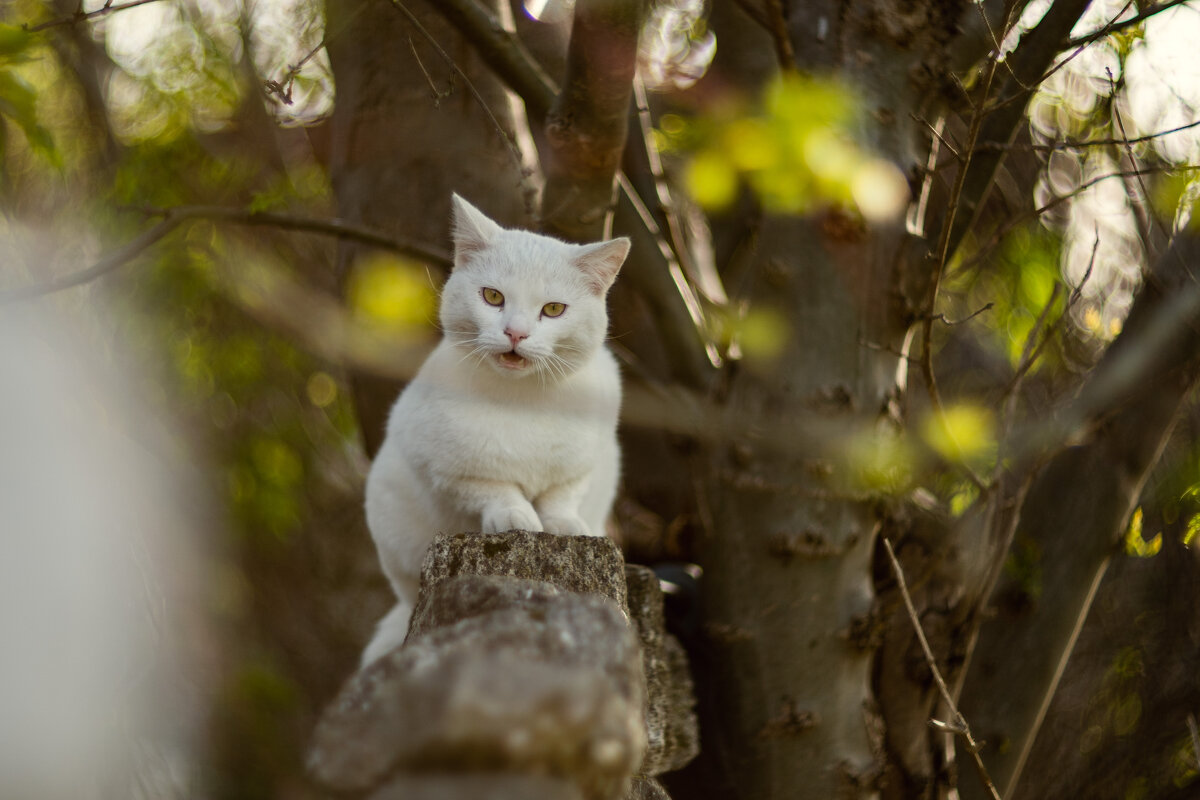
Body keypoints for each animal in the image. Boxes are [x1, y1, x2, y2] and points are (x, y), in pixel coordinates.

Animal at [360, 195, 633, 671]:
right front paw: (515, 515)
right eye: (493, 297)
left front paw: (564, 523)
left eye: (554, 309)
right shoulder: (446, 468)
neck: (523, 400)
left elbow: (561, 495)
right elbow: (494, 489)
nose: (516, 333)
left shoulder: (587, 463)